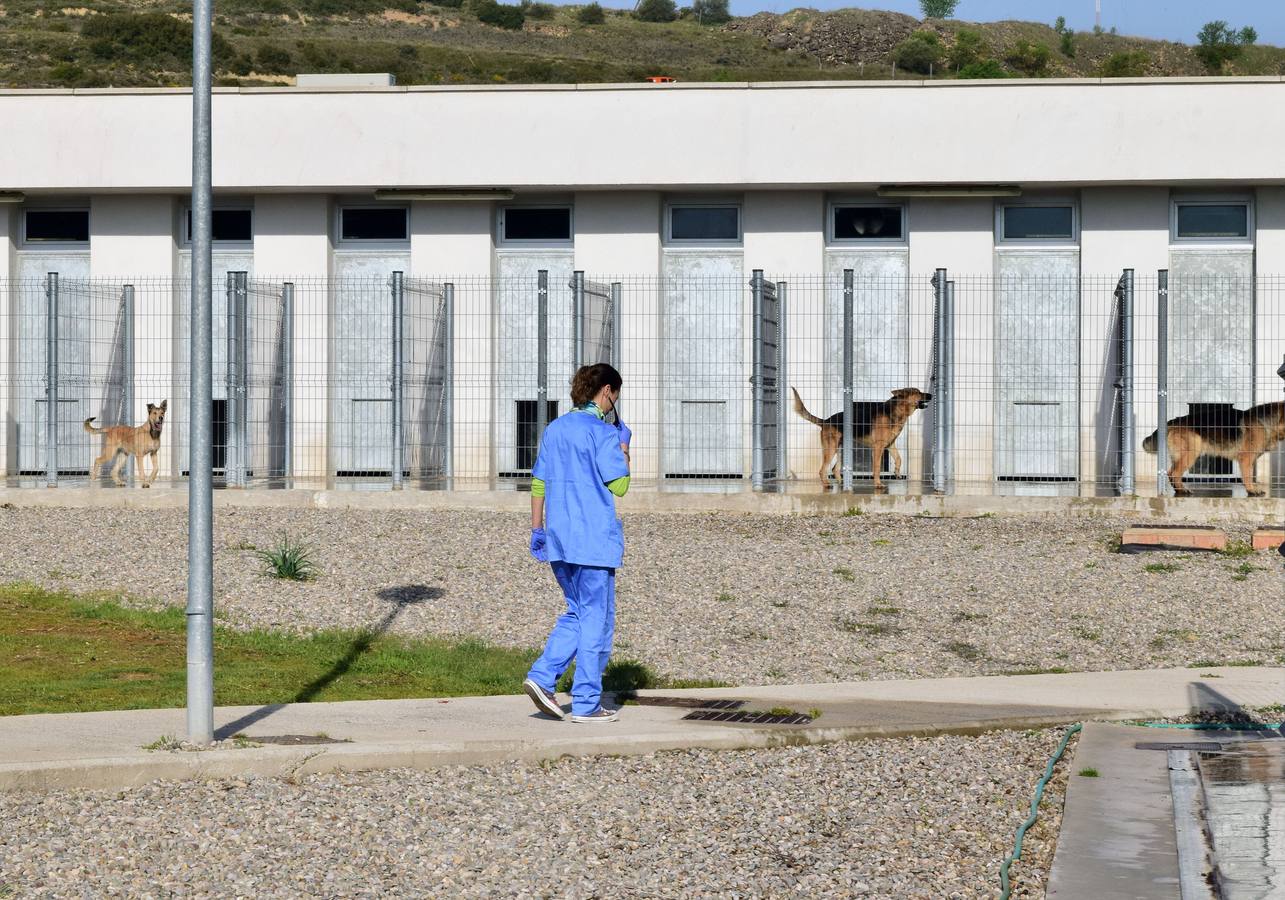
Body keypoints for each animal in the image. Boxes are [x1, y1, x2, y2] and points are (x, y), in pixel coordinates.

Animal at [786, 385, 930, 491]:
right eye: (917, 392)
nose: (931, 395)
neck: (897, 411)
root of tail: (826, 421)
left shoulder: (890, 445)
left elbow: (899, 459)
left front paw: (897, 472)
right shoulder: (878, 447)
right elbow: (877, 468)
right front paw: (878, 484)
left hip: (841, 449)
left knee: (834, 469)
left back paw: (842, 484)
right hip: (831, 449)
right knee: (823, 470)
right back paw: (827, 484)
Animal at [1146, 403, 1285, 498]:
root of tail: (1173, 421)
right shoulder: (1246, 459)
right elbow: (1248, 476)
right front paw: (1251, 490)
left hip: (1181, 456)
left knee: (1170, 472)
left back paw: (1178, 489)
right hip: (1191, 454)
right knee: (1175, 473)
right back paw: (1182, 490)